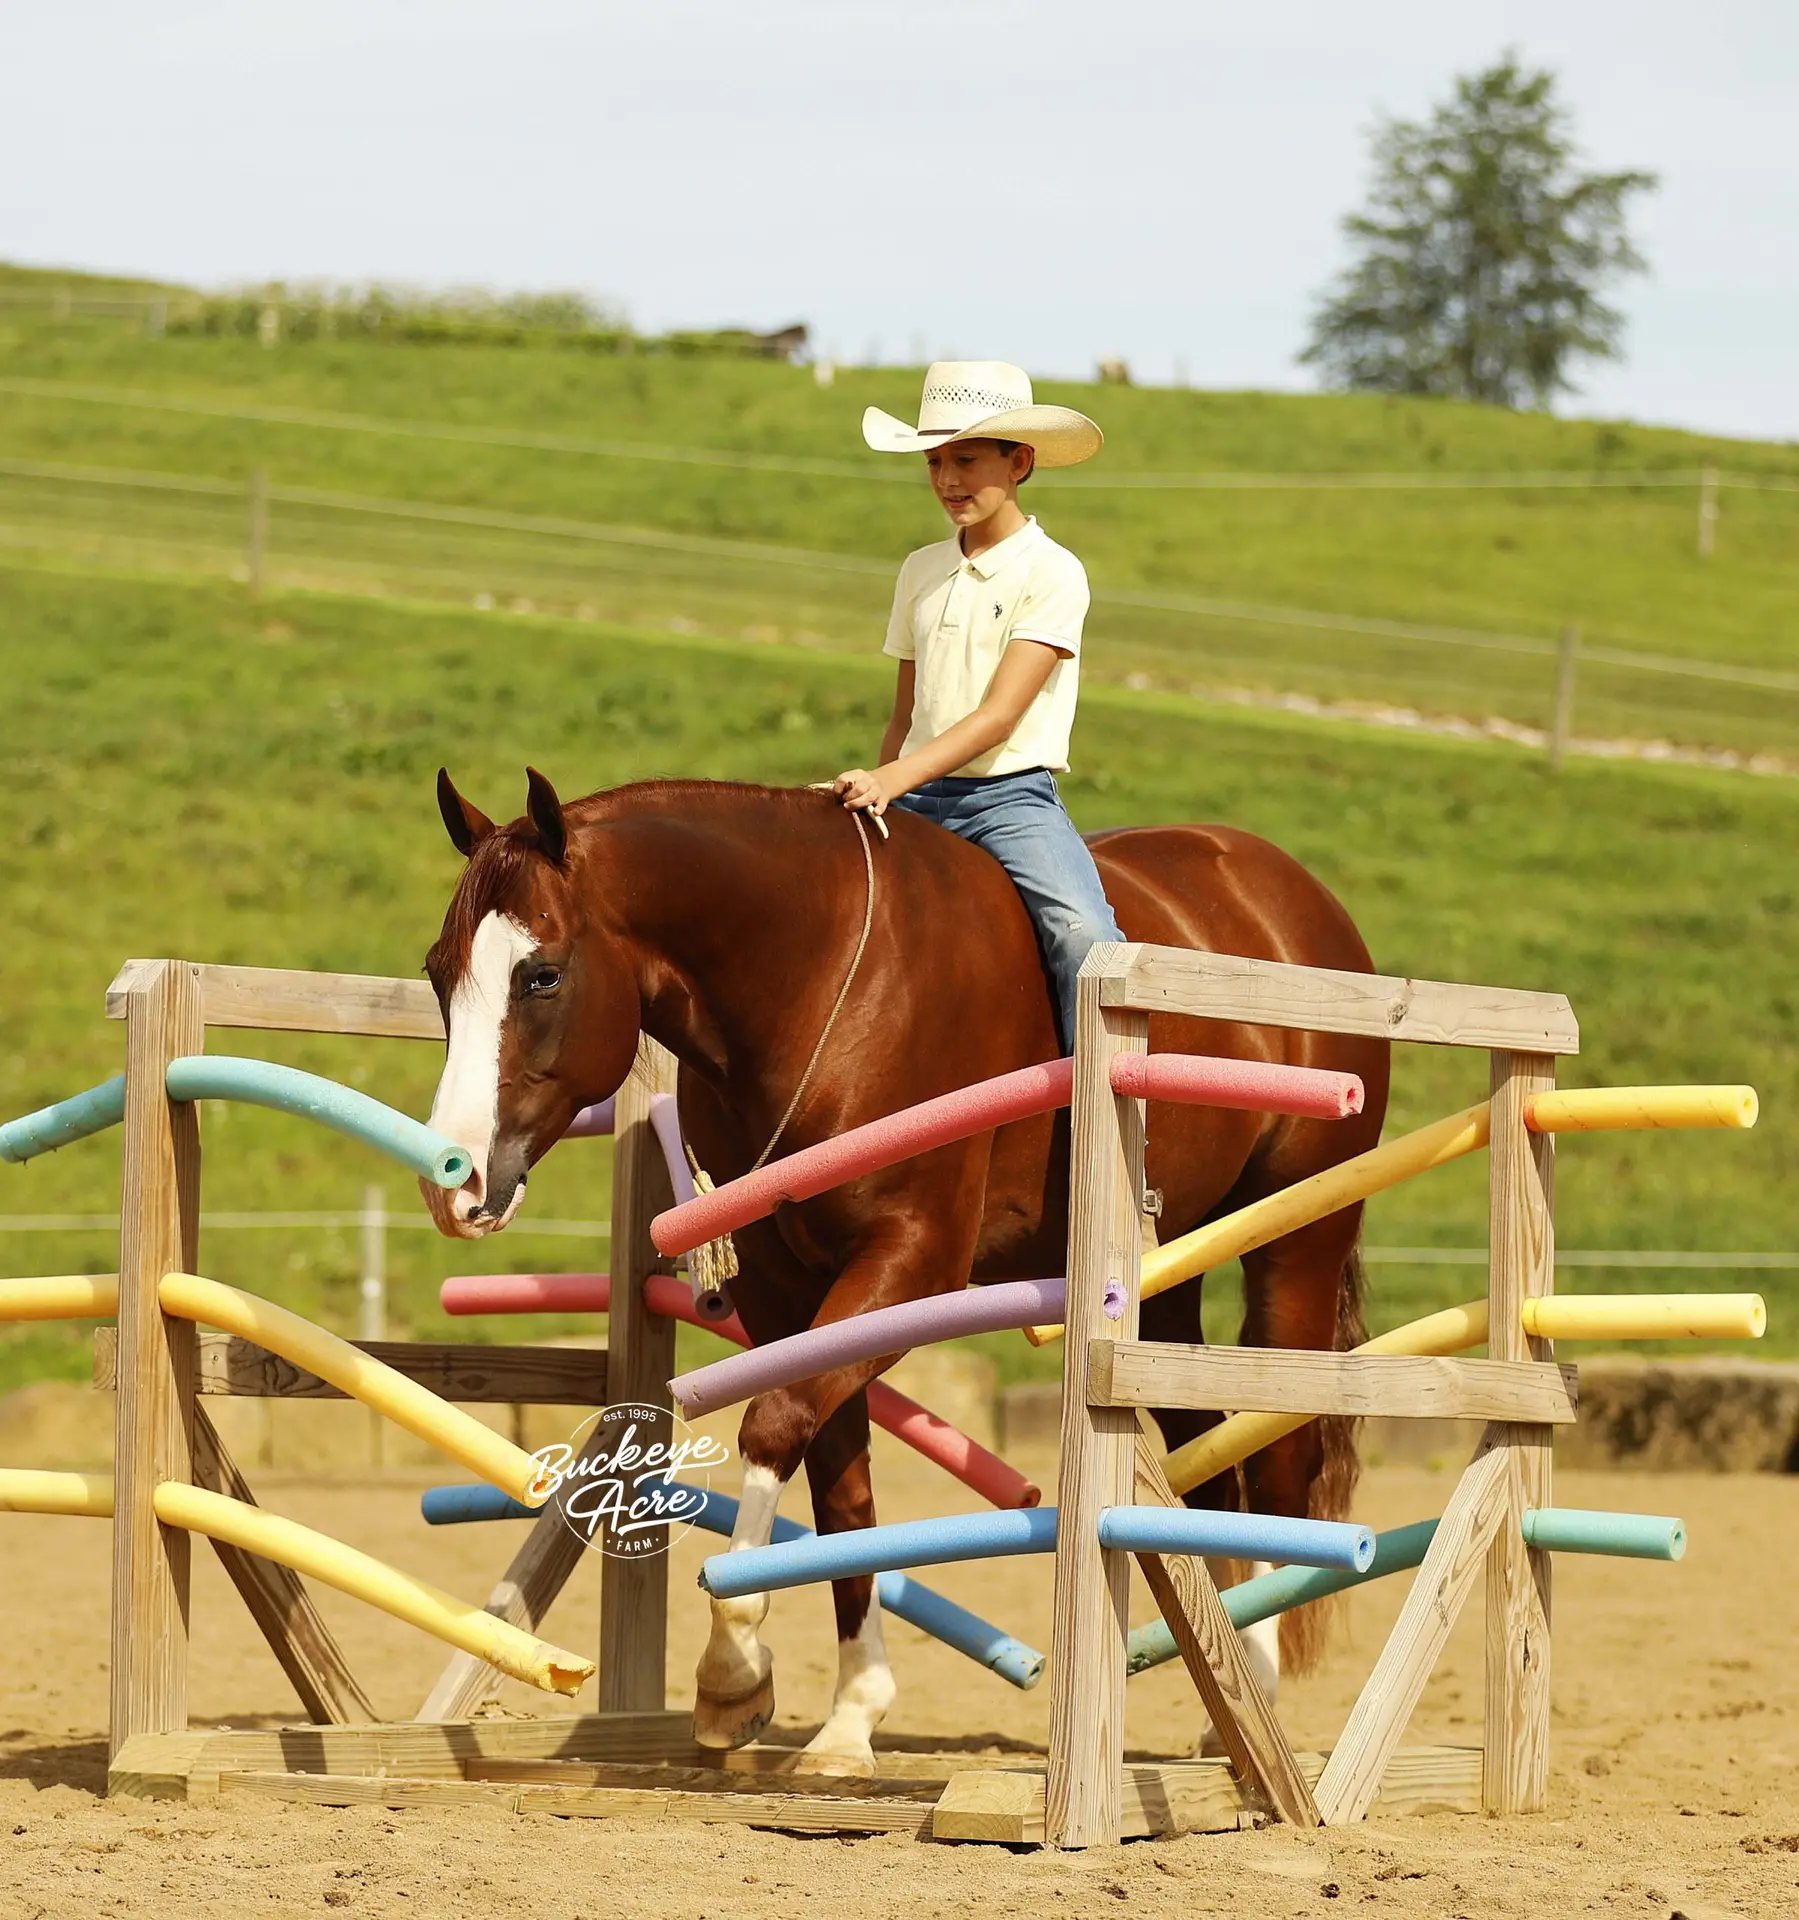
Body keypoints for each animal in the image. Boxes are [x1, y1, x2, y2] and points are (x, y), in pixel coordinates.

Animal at [419, 769, 1390, 1772]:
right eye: (437, 971)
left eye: (542, 974)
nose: (454, 1181)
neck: (811, 982)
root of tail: (1290, 893)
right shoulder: (785, 1292)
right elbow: (837, 1483)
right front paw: (850, 1716)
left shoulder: (912, 1262)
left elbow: (772, 1427)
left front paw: (732, 1673)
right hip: (1169, 1272)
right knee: (1205, 1448)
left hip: (1292, 1245)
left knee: (1277, 1455)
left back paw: (1257, 1694)